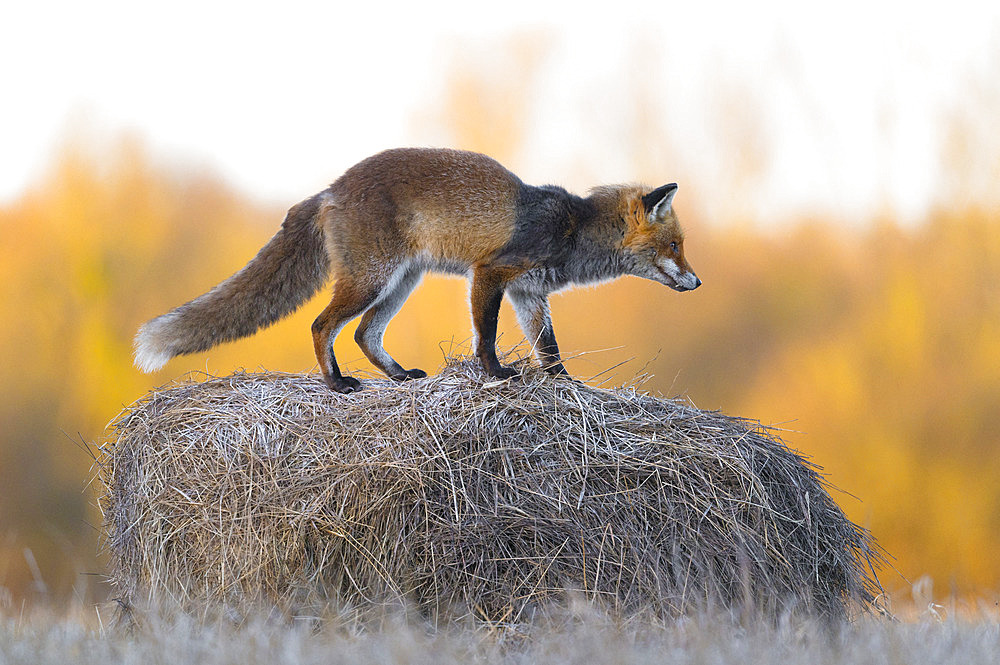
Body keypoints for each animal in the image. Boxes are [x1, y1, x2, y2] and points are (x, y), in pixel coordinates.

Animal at [133, 148, 700, 392]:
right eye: (675, 245)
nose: (697, 282)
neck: (573, 229)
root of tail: (330, 189)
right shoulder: (489, 273)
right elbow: (486, 336)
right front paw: (496, 375)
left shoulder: (529, 294)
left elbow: (551, 349)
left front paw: (569, 386)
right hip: (372, 280)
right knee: (321, 325)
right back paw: (336, 384)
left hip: (401, 282)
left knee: (363, 334)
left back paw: (399, 376)